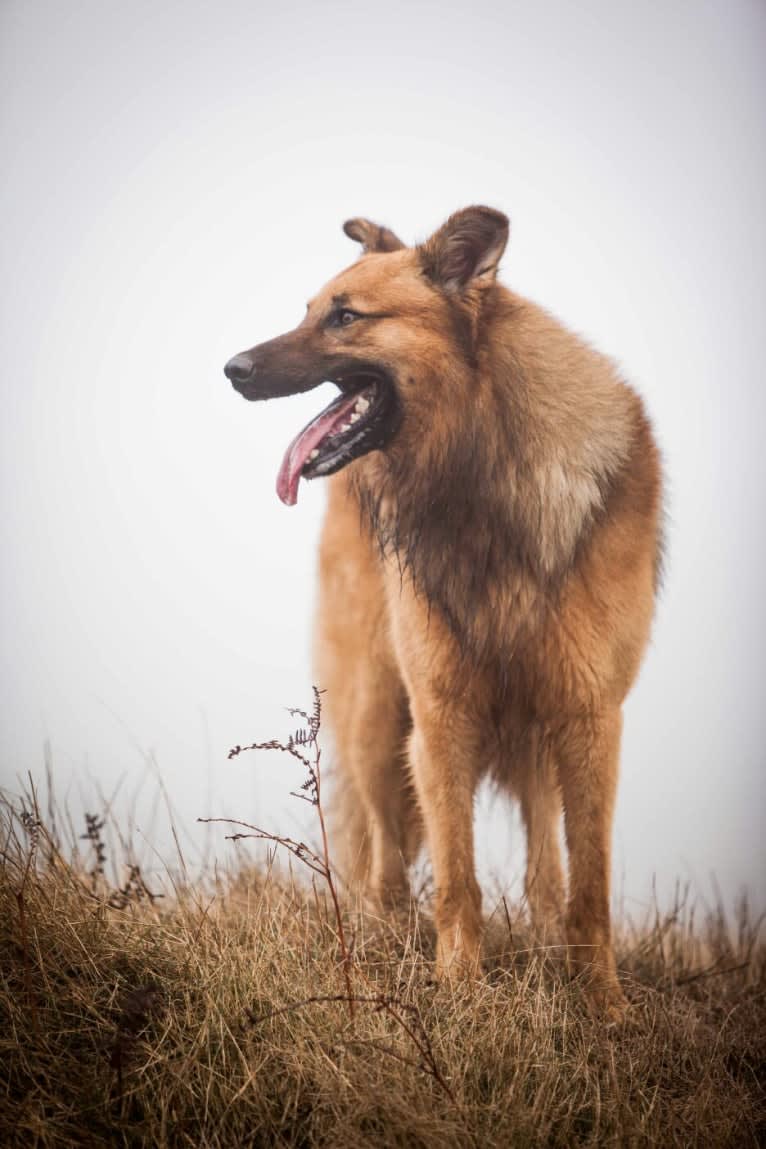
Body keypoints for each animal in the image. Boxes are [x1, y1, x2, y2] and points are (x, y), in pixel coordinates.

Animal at [222, 209, 666, 1015]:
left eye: (345, 316)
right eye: (310, 310)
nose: (232, 368)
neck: (482, 468)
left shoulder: (589, 716)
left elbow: (589, 881)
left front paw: (602, 1003)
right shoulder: (440, 716)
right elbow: (458, 877)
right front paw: (459, 986)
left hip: (531, 735)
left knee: (543, 862)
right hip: (375, 712)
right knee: (384, 861)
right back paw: (383, 938)